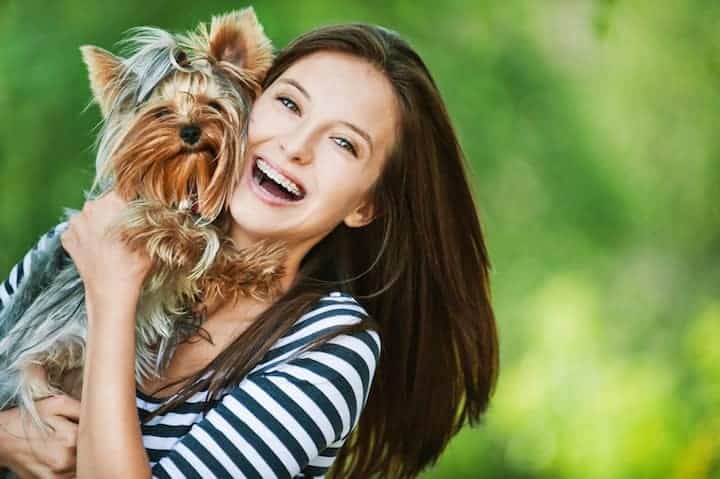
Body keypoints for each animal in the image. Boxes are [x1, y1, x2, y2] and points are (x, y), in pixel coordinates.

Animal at [0, 7, 286, 426]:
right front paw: (234, 256)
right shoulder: (136, 220)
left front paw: (253, 267)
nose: (190, 131)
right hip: (40, 365)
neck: (185, 180)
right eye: (162, 112)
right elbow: (193, 238)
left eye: (213, 106)